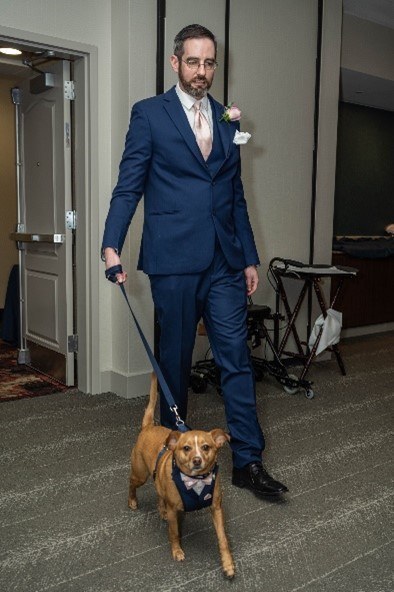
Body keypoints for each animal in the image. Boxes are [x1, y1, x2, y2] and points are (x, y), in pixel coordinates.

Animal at [129, 374, 234, 580]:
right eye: (186, 448)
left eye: (206, 447)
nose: (197, 460)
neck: (197, 481)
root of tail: (148, 427)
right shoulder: (174, 510)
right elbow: (174, 533)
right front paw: (177, 551)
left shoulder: (216, 508)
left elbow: (223, 539)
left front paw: (228, 564)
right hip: (140, 475)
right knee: (131, 483)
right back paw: (132, 501)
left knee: (159, 493)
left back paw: (159, 509)